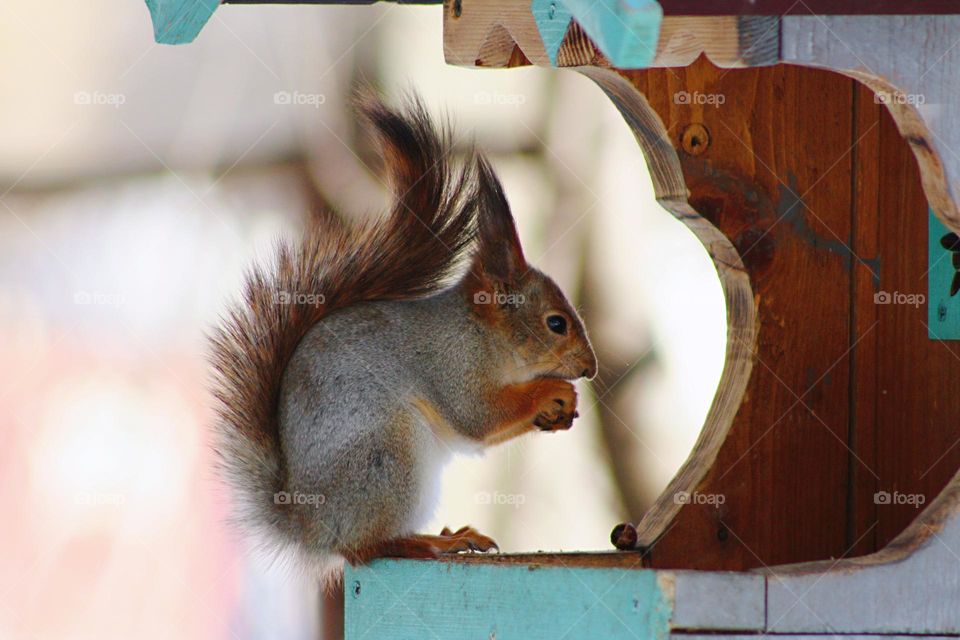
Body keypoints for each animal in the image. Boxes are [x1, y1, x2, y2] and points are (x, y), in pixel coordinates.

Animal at [209, 94, 597, 578]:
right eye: (556, 323)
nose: (591, 369)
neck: (482, 336)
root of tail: (310, 526)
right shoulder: (451, 364)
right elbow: (478, 416)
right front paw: (554, 392)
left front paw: (560, 411)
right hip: (388, 456)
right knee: (364, 548)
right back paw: (430, 543)